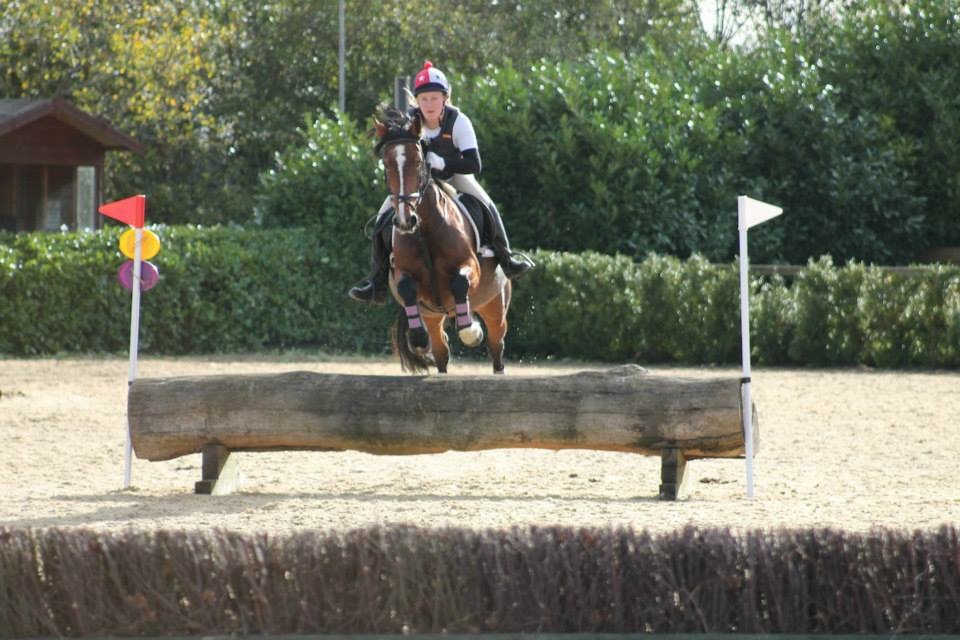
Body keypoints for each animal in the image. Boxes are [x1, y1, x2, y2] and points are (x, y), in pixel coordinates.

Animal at [374, 107, 512, 372]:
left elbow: (460, 282)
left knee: (496, 346)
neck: (425, 232)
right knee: (441, 351)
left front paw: (471, 331)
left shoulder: (471, 266)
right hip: (433, 316)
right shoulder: (402, 273)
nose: (405, 221)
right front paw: (418, 338)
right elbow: (407, 288)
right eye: (386, 165)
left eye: (419, 163)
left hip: (495, 305)